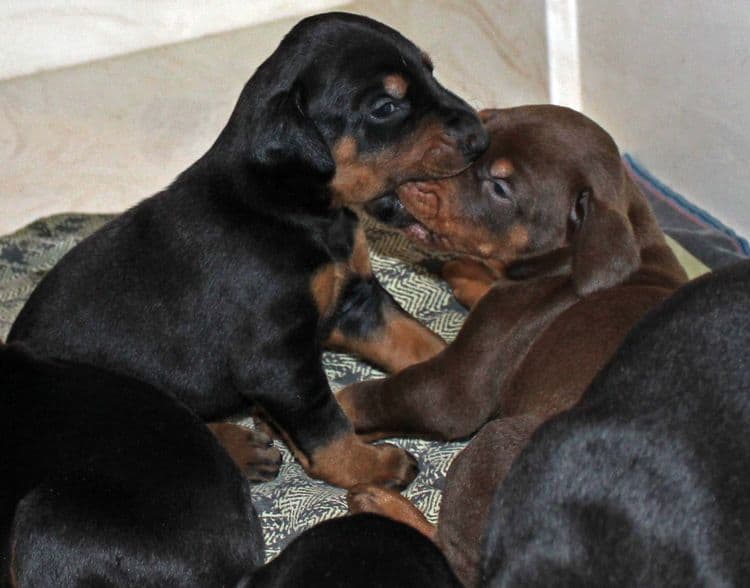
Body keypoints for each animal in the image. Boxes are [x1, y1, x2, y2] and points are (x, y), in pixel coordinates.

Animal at [5, 14, 488, 492]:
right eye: (385, 107)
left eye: (431, 71)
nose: (479, 136)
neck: (290, 206)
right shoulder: (276, 360)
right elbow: (325, 427)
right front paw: (371, 468)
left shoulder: (358, 302)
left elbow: (420, 340)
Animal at [338, 104, 692, 584]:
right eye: (484, 121)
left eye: (501, 187)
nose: (414, 171)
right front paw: (469, 273)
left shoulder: (457, 385)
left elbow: (379, 397)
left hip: (496, 443)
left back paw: (381, 504)